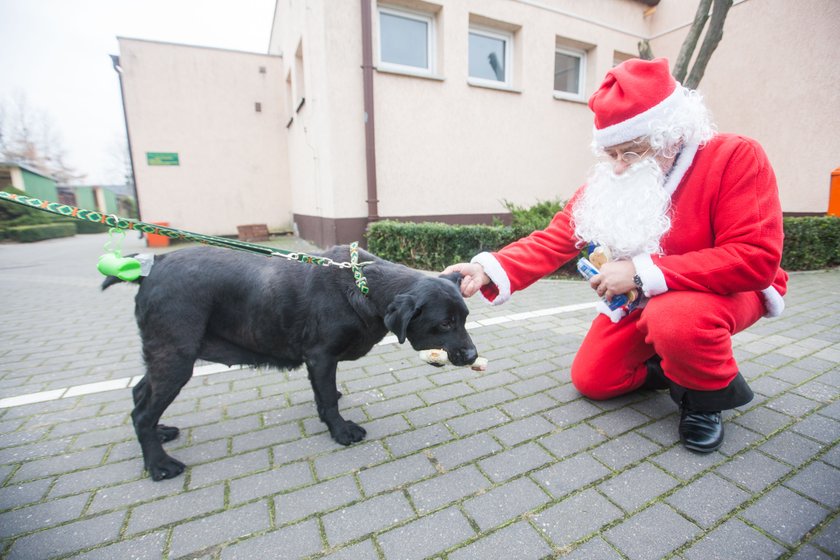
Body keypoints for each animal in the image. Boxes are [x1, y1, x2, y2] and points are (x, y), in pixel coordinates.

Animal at [101, 246, 476, 482]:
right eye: (444, 324)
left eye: (465, 317)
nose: (472, 355)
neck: (362, 287)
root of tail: (153, 265)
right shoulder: (321, 356)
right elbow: (327, 400)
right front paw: (340, 430)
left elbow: (325, 395)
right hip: (176, 357)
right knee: (142, 412)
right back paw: (159, 464)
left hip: (165, 356)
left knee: (140, 393)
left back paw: (161, 432)